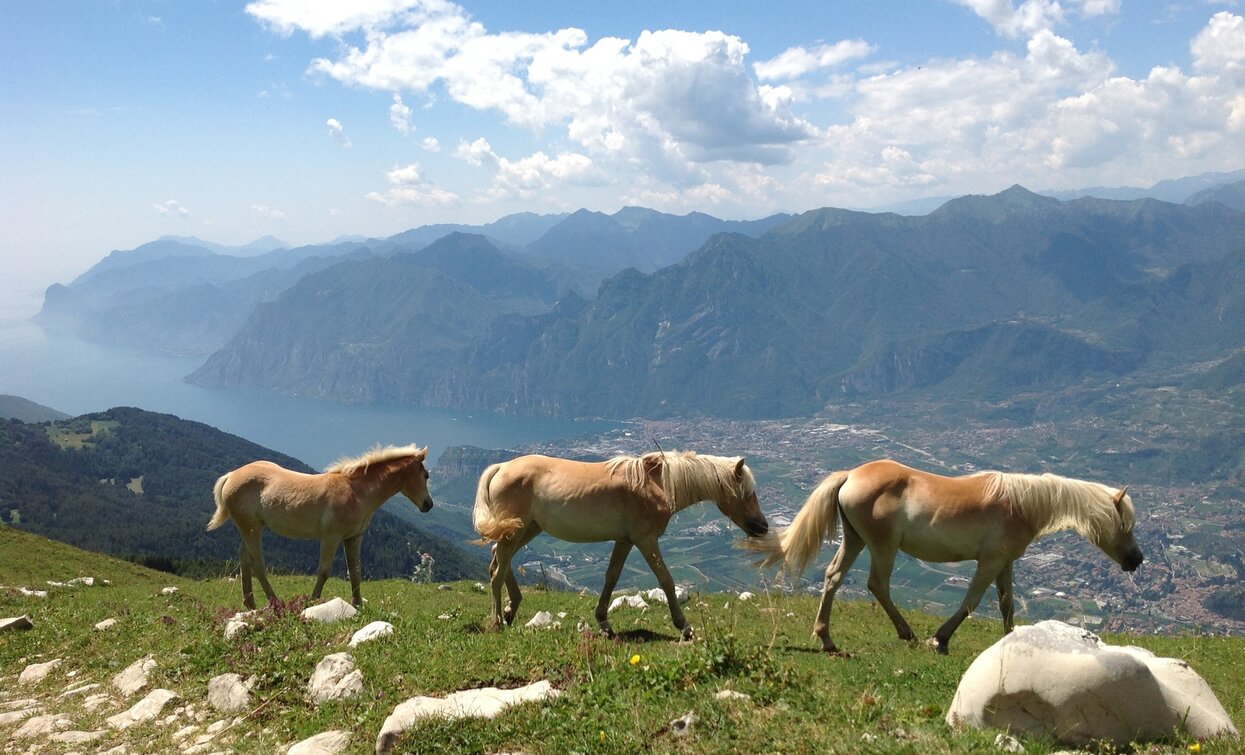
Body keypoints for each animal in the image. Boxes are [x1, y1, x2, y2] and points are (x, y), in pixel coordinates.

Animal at [207, 444, 433, 609]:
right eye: (426, 475)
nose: (428, 505)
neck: (356, 492)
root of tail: (231, 475)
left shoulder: (353, 537)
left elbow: (355, 571)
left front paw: (357, 605)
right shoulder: (331, 537)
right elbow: (324, 571)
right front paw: (312, 601)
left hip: (252, 528)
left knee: (245, 558)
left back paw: (250, 604)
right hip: (251, 528)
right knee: (258, 565)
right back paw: (275, 603)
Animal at [472, 450, 769, 640]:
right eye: (747, 493)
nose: (763, 527)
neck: (657, 485)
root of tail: (502, 467)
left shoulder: (625, 541)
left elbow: (612, 577)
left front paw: (604, 623)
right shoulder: (646, 540)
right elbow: (666, 579)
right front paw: (684, 626)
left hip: (526, 528)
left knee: (499, 559)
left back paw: (511, 610)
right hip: (517, 530)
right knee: (497, 571)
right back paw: (497, 622)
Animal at [744, 459, 1143, 655]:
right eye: (1125, 525)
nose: (1136, 560)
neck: (1021, 504)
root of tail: (850, 475)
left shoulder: (1005, 563)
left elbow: (1007, 604)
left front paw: (1011, 642)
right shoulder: (990, 562)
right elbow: (971, 601)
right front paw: (941, 638)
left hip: (855, 541)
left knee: (833, 578)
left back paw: (826, 638)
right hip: (882, 547)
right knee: (877, 585)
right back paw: (907, 634)